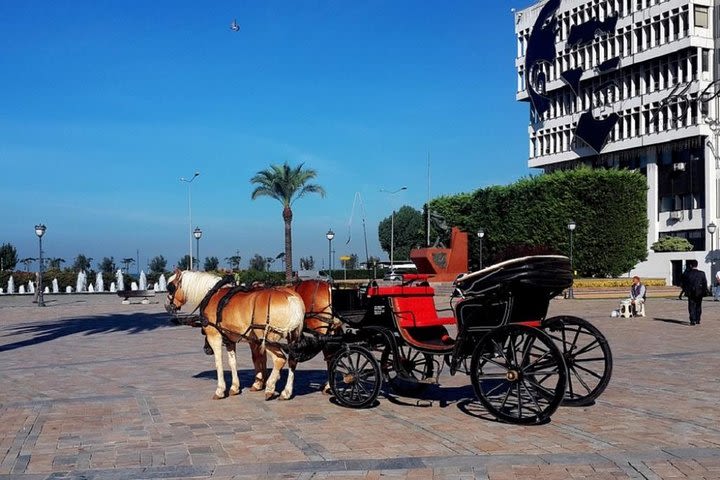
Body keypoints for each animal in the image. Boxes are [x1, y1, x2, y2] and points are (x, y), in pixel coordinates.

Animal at [166, 270, 304, 402]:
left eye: (170, 287)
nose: (167, 306)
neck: (213, 295)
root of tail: (291, 297)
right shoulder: (229, 340)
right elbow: (232, 362)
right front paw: (234, 387)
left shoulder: (214, 336)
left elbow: (218, 362)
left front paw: (220, 390)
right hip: (292, 338)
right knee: (292, 360)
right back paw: (286, 392)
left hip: (267, 339)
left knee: (279, 360)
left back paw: (270, 388)